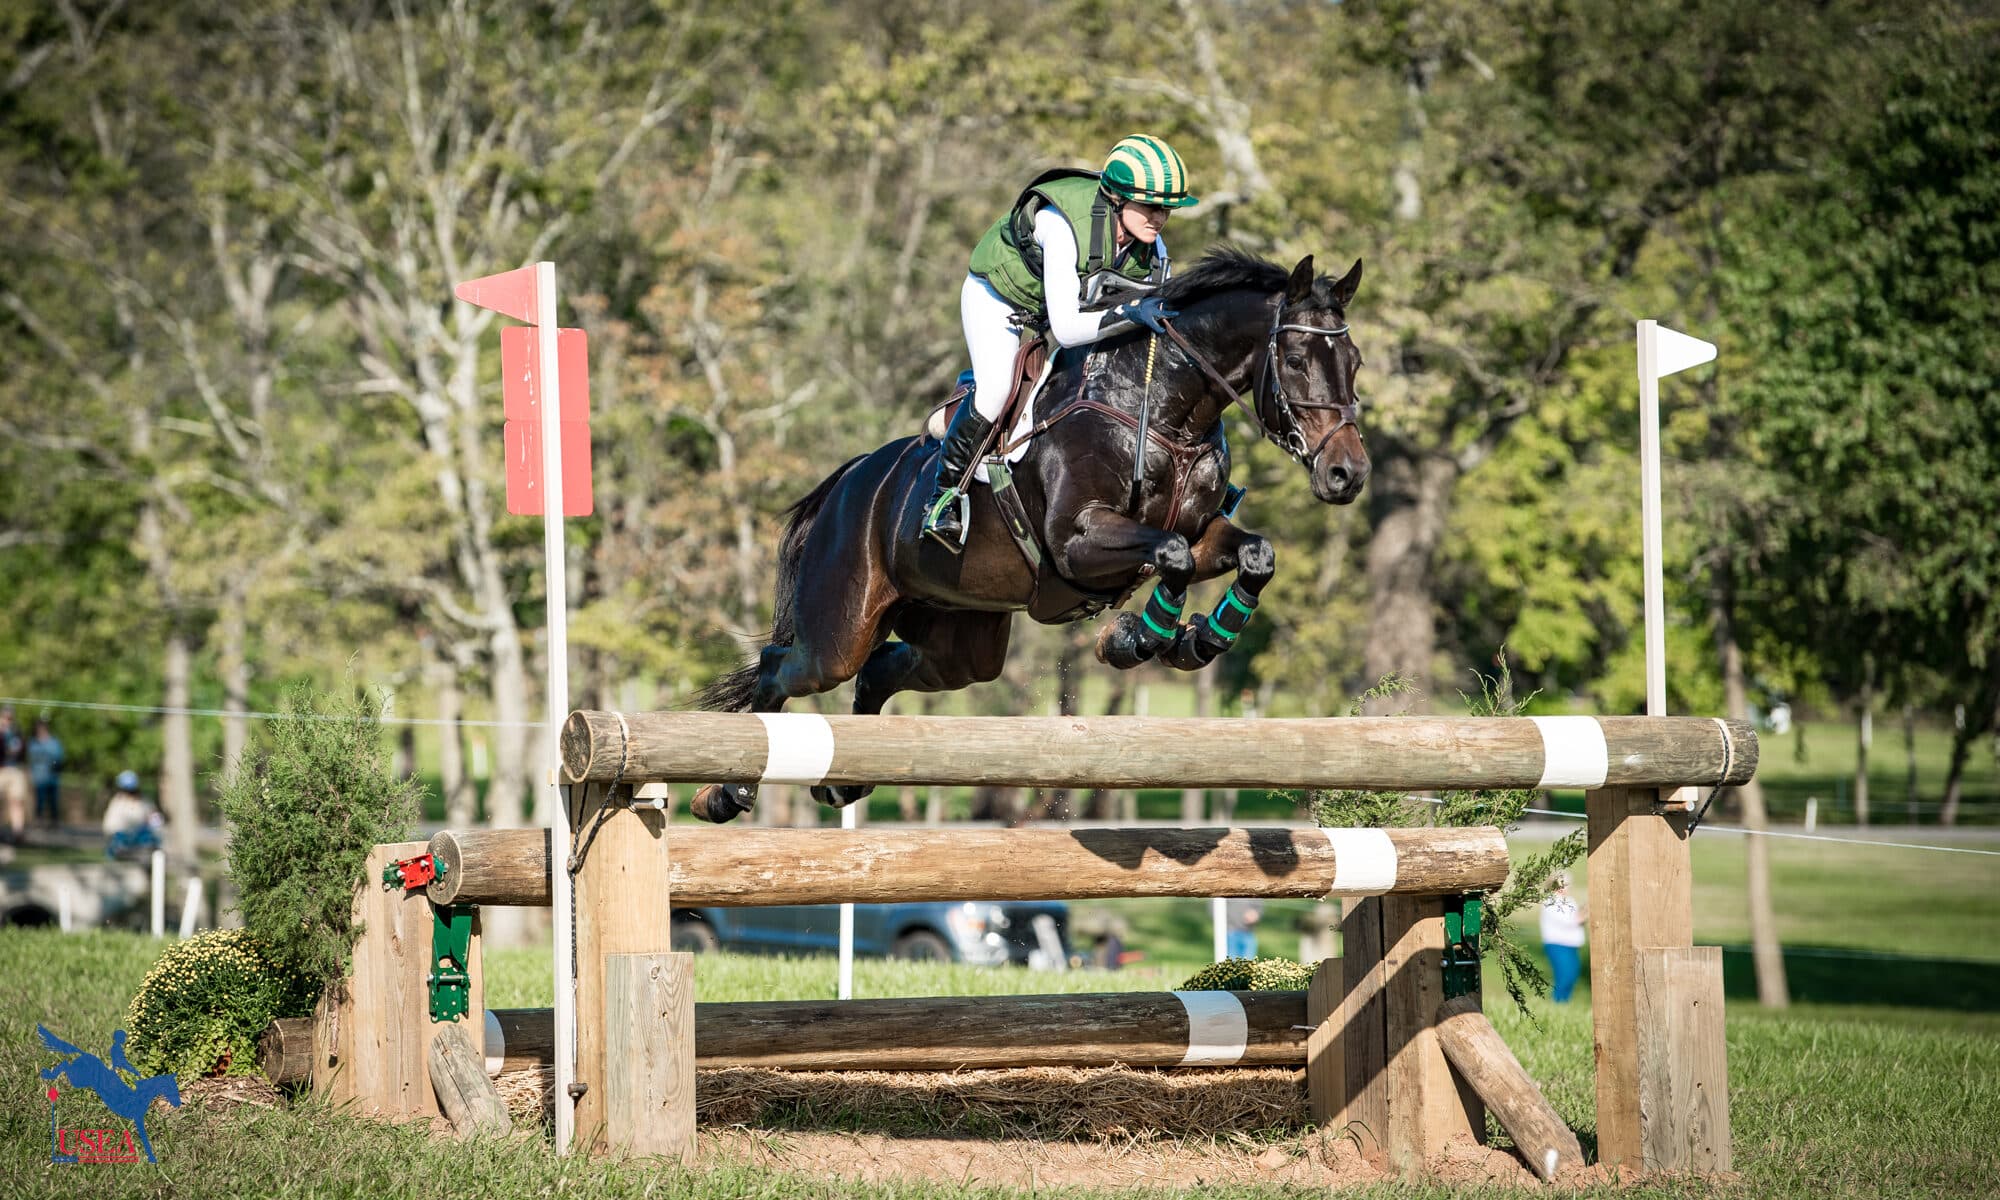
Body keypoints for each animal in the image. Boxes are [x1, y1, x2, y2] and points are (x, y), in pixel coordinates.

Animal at [691, 248, 1369, 821]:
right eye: (1297, 361)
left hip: (961, 641)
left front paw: (1194, 642)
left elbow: (1253, 553)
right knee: (783, 668)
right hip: (840, 628)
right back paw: (727, 793)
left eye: (1355, 363)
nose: (1348, 474)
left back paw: (845, 781)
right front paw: (1137, 640)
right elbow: (1170, 556)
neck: (1161, 412)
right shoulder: (1079, 542)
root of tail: (849, 479)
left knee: (882, 672)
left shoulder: (1205, 533)